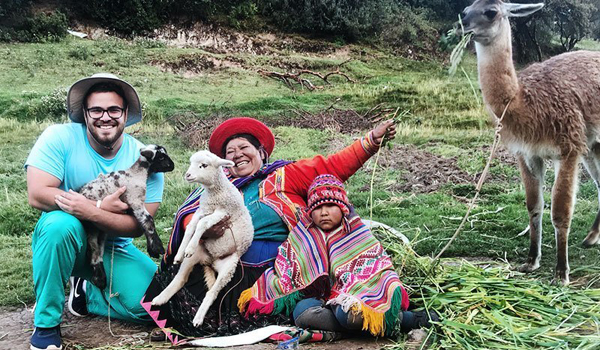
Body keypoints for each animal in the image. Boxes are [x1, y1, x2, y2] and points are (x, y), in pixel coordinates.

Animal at [79, 144, 173, 288]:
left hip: (101, 228)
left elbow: (142, 223)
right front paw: (157, 247)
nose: (172, 166)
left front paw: (151, 248)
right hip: (91, 223)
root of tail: (81, 191)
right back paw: (99, 278)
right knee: (93, 245)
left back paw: (100, 278)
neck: (136, 174)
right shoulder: (135, 200)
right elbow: (148, 220)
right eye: (161, 157)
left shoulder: (132, 207)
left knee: (98, 249)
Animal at [151, 150, 254, 328]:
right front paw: (180, 252)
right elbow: (191, 226)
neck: (215, 192)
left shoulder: (222, 212)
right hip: (196, 257)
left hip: (229, 267)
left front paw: (190, 247)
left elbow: (202, 224)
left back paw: (198, 319)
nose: (187, 175)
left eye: (204, 165)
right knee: (180, 279)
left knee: (212, 292)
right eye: (191, 163)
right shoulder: (203, 209)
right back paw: (160, 298)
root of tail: (211, 262)